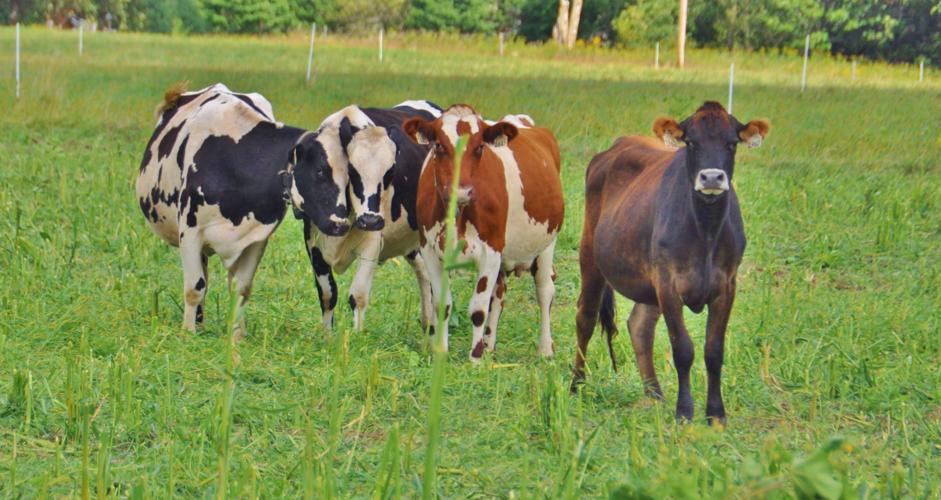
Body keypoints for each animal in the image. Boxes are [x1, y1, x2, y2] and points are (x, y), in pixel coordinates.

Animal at [136, 83, 353, 338]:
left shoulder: (256, 236)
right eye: (319, 171)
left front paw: (237, 336)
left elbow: (241, 289)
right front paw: (188, 334)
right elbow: (194, 288)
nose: (341, 224)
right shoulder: (189, 231)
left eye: (350, 176)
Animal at [302, 101, 443, 331]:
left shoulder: (372, 243)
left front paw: (357, 336)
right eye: (351, 170)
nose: (369, 220)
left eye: (390, 172)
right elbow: (327, 295)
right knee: (425, 272)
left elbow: (357, 296)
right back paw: (427, 323)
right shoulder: (312, 241)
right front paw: (326, 336)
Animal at [402, 105, 564, 361]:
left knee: (545, 290)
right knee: (499, 295)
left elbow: (478, 309)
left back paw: (545, 349)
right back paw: (489, 344)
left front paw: (475, 358)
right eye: (438, 145)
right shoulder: (430, 251)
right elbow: (442, 305)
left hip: (548, 243)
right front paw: (442, 352)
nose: (461, 192)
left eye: (479, 148)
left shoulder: (490, 252)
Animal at [571, 101, 770, 425]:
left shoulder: (727, 284)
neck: (705, 231)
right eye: (691, 143)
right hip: (591, 254)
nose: (711, 178)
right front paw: (685, 411)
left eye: (731, 143)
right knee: (585, 317)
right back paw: (576, 384)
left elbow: (714, 350)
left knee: (639, 325)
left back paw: (654, 394)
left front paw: (716, 413)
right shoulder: (668, 283)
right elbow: (683, 349)